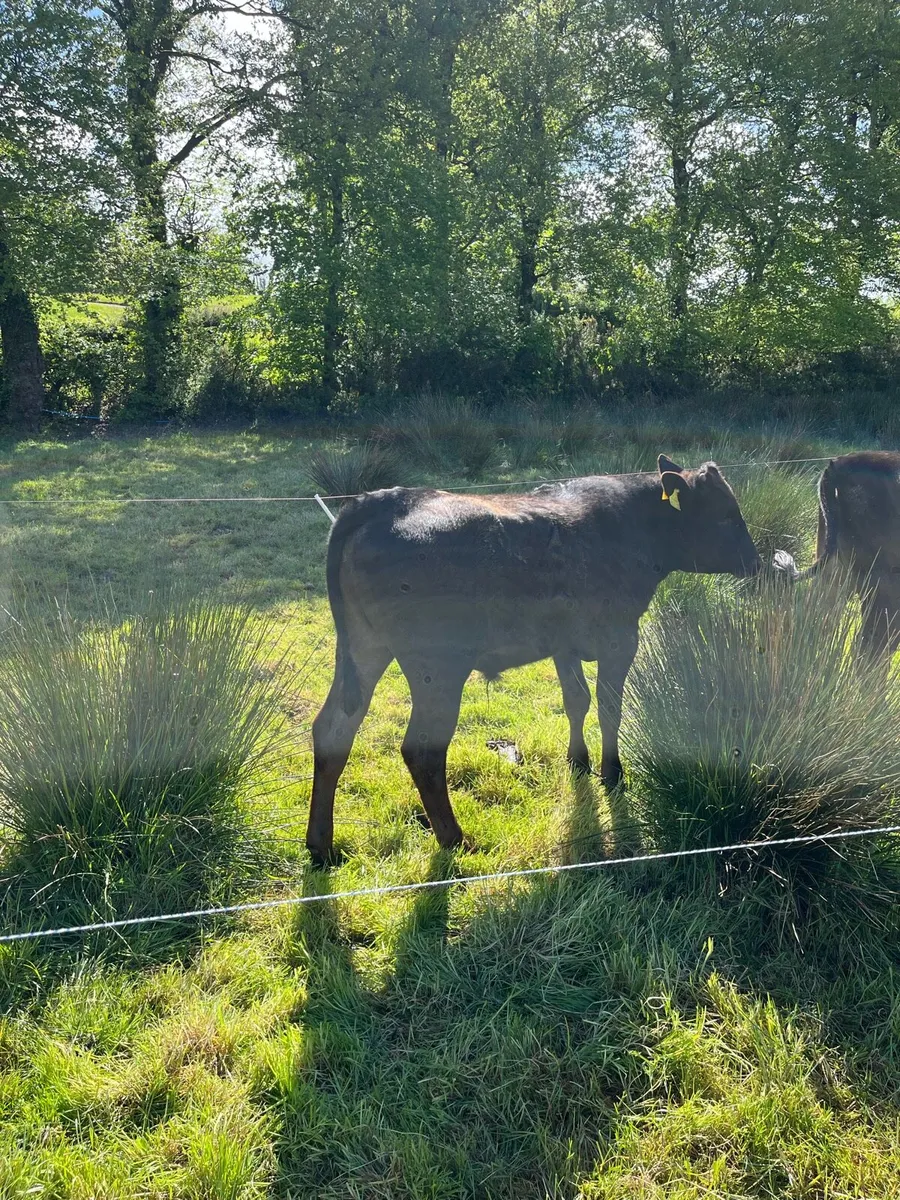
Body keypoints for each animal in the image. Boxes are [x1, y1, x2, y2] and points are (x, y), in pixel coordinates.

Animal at [306, 455, 762, 865]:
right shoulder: (620, 639)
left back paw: (321, 847)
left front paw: (578, 762)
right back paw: (455, 839)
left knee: (333, 729)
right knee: (422, 750)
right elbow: (609, 707)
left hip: (363, 647)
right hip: (437, 666)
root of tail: (382, 499)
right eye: (726, 516)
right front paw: (613, 774)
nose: (756, 562)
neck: (631, 529)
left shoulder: (564, 644)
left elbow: (576, 701)